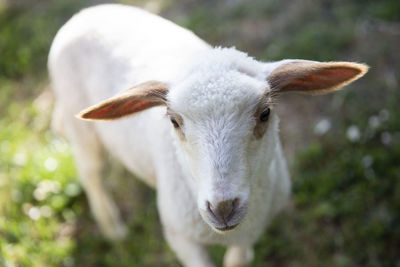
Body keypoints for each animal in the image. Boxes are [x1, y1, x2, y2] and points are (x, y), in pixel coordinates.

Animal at [47, 4, 368, 267]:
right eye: (174, 121)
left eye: (265, 113)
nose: (223, 208)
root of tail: (85, 13)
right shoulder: (179, 236)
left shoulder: (253, 230)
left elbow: (237, 260)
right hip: (80, 123)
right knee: (91, 173)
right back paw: (113, 227)